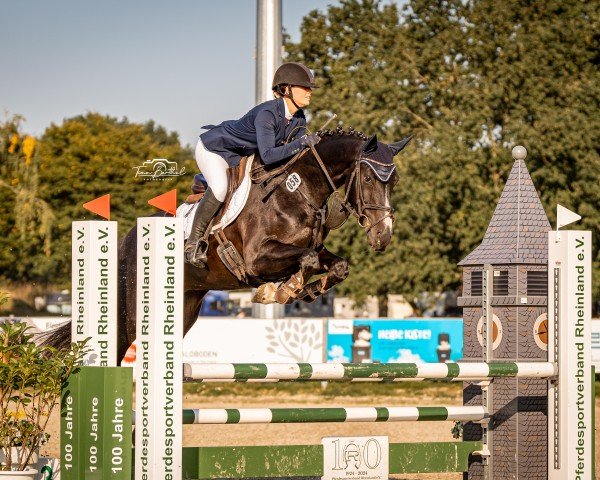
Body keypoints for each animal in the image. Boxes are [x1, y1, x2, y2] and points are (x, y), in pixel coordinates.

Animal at [45, 127, 412, 360]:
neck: (298, 190)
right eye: (368, 178)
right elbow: (304, 260)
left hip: (185, 307)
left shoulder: (312, 251)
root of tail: (125, 242)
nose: (383, 235)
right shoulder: (256, 259)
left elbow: (335, 265)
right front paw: (281, 290)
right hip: (132, 314)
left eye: (394, 181)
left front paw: (303, 291)